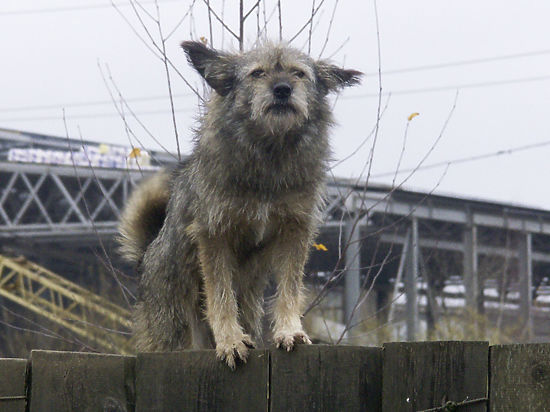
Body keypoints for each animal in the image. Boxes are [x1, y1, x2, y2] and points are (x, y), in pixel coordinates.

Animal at [118, 41, 362, 370]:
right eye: (257, 73)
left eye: (299, 73)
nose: (282, 89)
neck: (270, 159)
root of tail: (145, 256)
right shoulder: (214, 235)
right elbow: (220, 295)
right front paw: (231, 341)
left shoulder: (295, 231)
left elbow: (289, 288)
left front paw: (290, 330)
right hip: (173, 325)